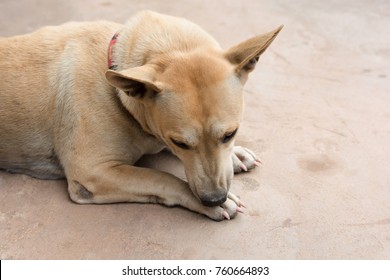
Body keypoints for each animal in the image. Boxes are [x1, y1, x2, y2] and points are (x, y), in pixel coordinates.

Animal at [0, 10, 282, 221]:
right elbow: (160, 177)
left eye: (230, 134)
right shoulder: (92, 172)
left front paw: (235, 155)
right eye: (180, 142)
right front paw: (208, 203)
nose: (214, 199)